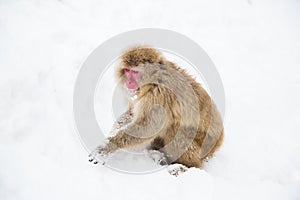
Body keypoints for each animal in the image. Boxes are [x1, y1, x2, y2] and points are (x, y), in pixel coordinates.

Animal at [90, 45, 224, 170]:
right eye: (127, 70)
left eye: (135, 72)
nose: (128, 82)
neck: (151, 82)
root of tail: (219, 142)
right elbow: (131, 113)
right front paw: (107, 139)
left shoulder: (160, 94)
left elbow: (148, 126)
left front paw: (106, 148)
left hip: (203, 146)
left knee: (176, 129)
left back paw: (184, 166)